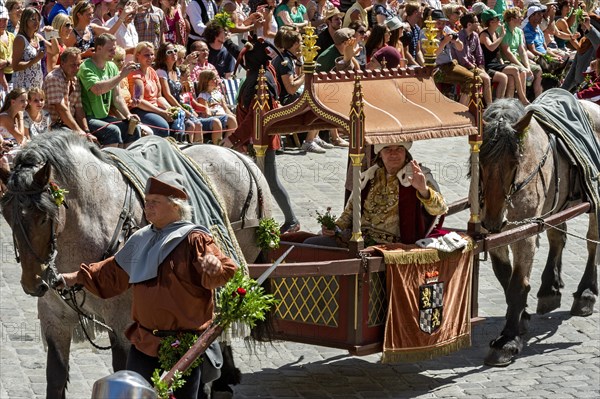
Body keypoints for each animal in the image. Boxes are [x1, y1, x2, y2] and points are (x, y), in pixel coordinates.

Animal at [0, 132, 272, 399]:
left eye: (43, 216)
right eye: (6, 215)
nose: (34, 283)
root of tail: (237, 154)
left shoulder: (122, 323)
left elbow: (124, 368)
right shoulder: (54, 318)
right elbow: (55, 377)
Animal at [478, 97, 600, 368]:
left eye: (514, 162)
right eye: (480, 161)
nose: (493, 220)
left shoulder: (524, 235)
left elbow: (517, 283)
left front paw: (507, 341)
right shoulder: (497, 237)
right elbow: (505, 278)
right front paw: (521, 317)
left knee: (592, 242)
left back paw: (586, 293)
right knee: (558, 238)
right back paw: (549, 289)